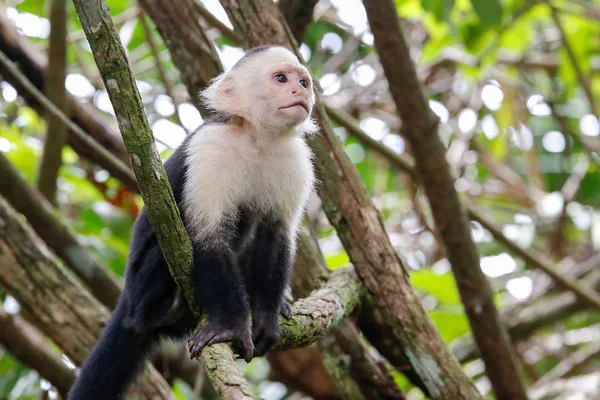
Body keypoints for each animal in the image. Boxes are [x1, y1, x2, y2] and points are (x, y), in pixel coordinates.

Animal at [67, 44, 316, 400]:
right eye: (281, 79)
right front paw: (230, 327)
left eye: (303, 81)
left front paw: (265, 318)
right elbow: (207, 236)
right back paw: (170, 306)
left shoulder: (295, 161)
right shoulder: (211, 148)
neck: (257, 139)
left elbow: (275, 236)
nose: (300, 91)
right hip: (143, 291)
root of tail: (127, 304)